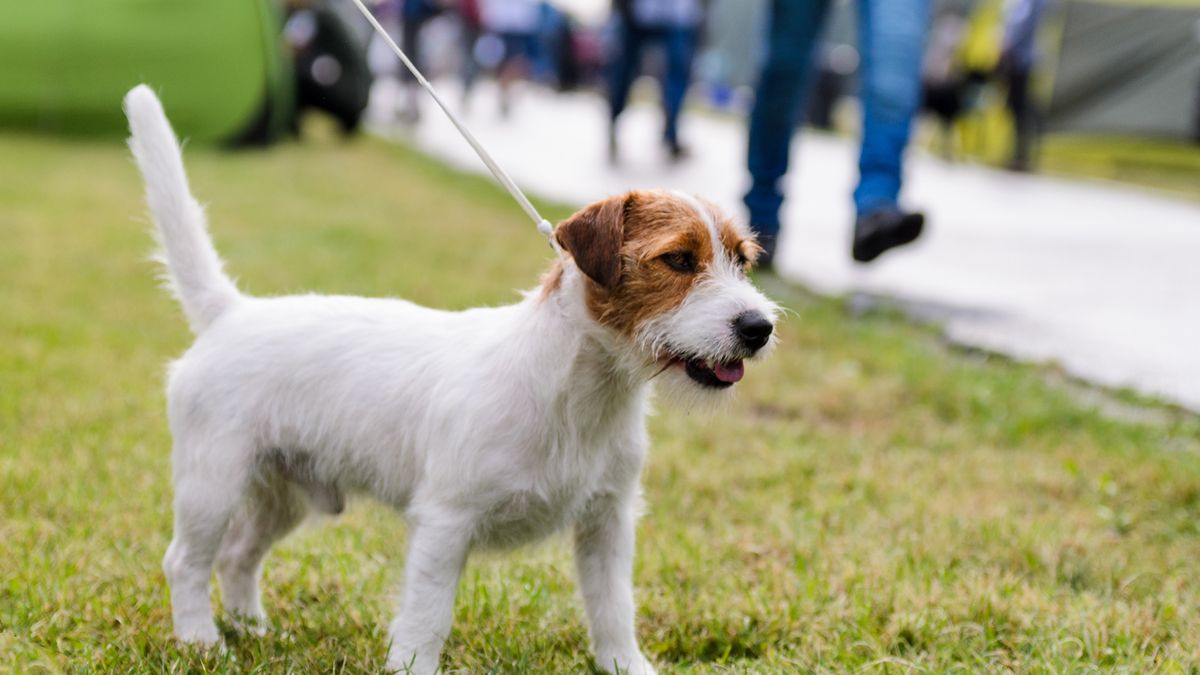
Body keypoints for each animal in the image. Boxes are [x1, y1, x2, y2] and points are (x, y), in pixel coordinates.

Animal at [121, 85, 777, 672]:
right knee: (186, 560)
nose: (759, 327)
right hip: (213, 482)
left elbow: (613, 610)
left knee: (237, 556)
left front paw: (626, 666)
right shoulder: (445, 524)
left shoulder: (607, 524)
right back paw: (202, 642)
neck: (576, 392)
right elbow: (426, 618)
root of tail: (230, 312)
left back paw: (254, 629)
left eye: (743, 261)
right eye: (678, 260)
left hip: (283, 494)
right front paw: (411, 665)